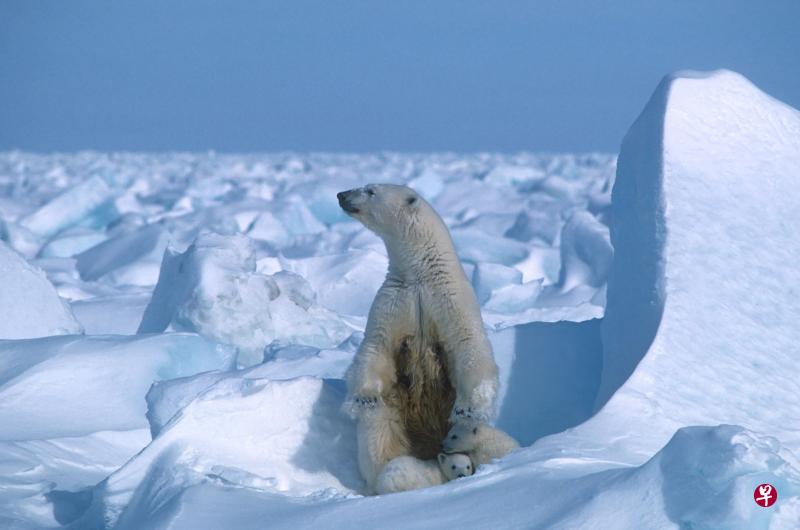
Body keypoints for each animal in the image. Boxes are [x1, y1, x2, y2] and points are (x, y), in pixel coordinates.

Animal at [337, 183, 499, 493]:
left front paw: (466, 408)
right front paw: (364, 397)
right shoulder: (394, 302)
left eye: (370, 190)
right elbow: (376, 347)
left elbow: (469, 346)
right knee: (379, 433)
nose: (341, 195)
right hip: (396, 412)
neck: (420, 274)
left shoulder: (450, 300)